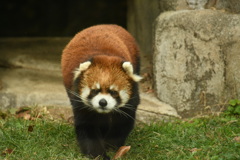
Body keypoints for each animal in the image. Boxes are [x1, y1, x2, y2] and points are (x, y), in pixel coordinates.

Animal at [61, 24, 142, 159]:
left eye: (113, 92)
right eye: (94, 90)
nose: (102, 102)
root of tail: (103, 25)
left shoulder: (131, 100)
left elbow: (122, 122)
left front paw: (110, 145)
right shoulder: (79, 102)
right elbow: (88, 128)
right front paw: (98, 154)